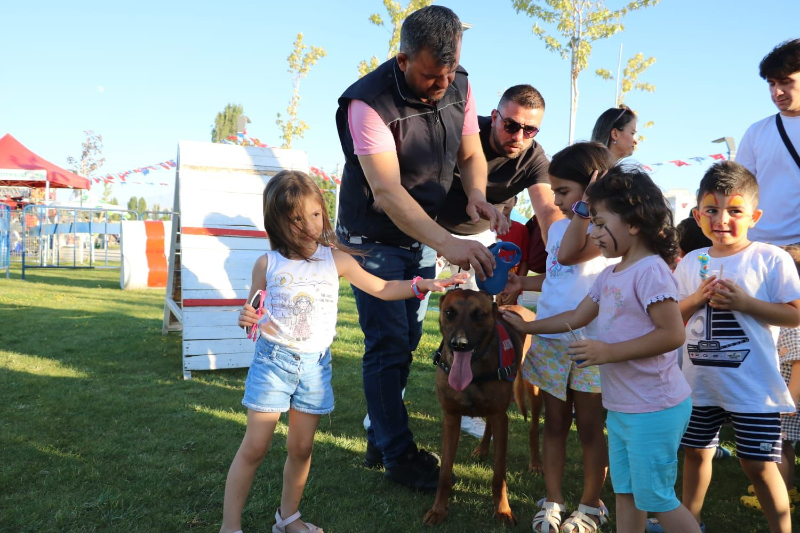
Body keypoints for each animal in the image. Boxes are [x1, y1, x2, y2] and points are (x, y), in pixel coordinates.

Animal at [422, 288, 536, 524]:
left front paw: (503, 510)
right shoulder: (451, 419)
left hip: (534, 390)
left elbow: (499, 474)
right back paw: (483, 448)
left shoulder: (502, 419)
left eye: (479, 315)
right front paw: (438, 510)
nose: (459, 344)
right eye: (449, 312)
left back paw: (536, 462)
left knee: (534, 427)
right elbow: (444, 473)